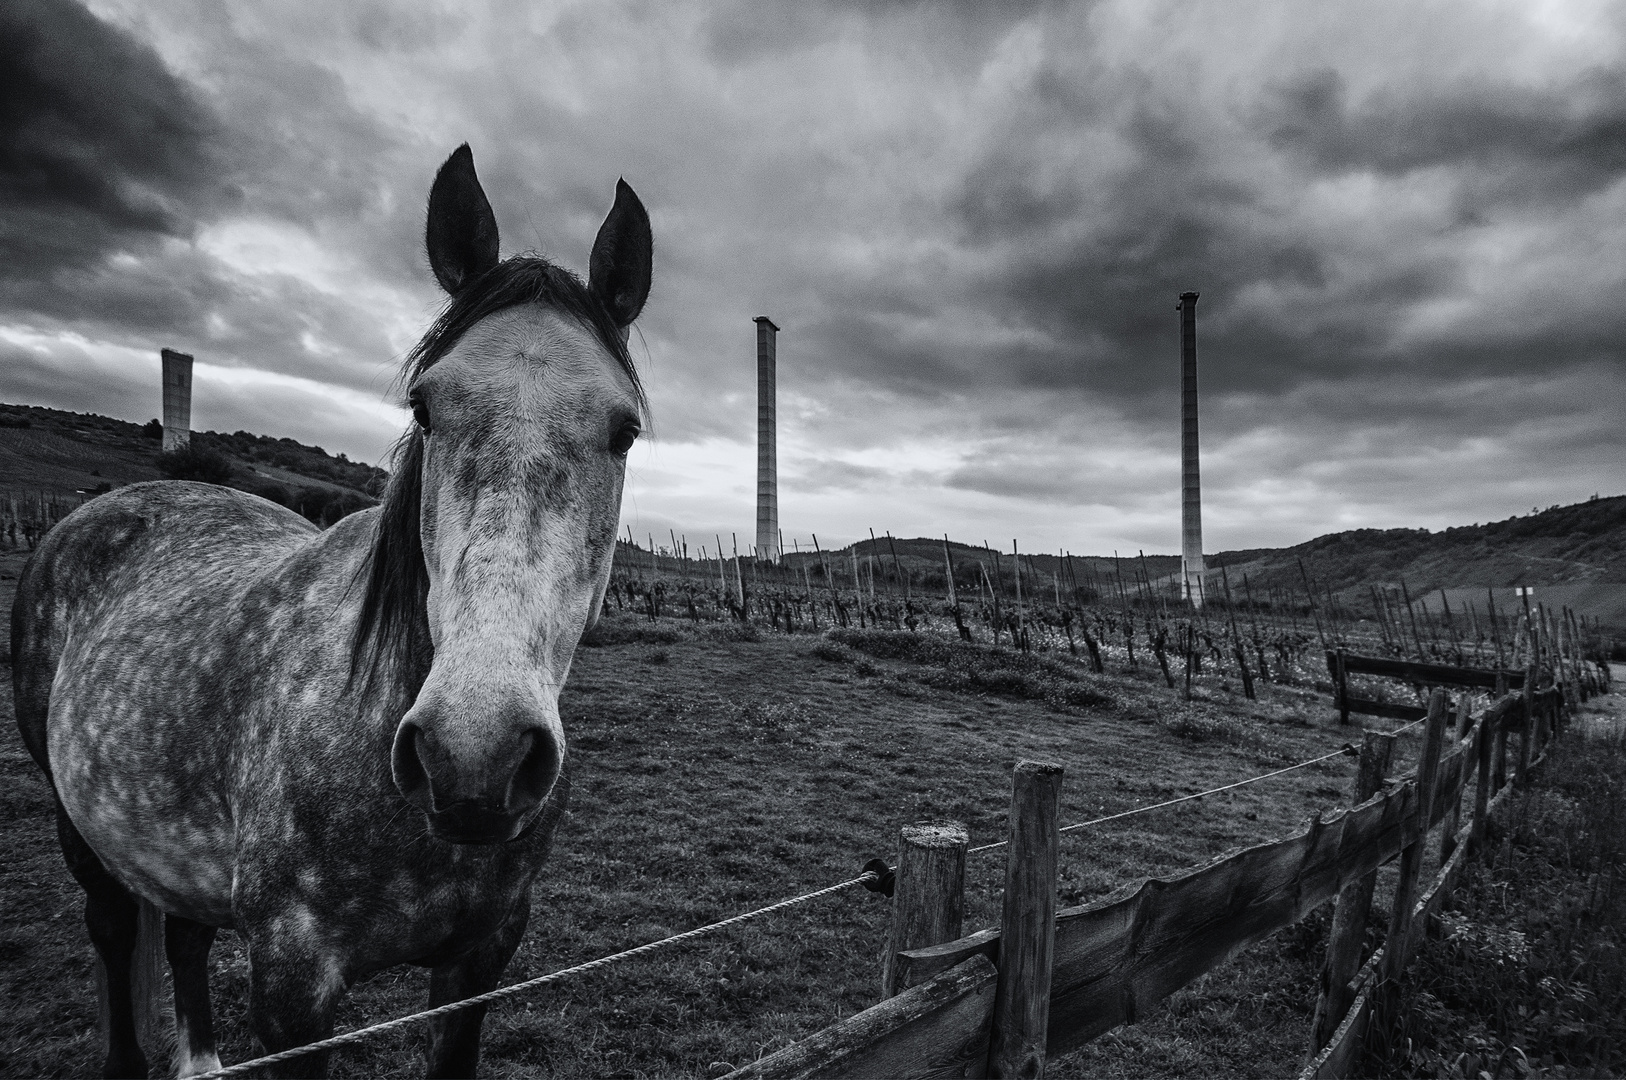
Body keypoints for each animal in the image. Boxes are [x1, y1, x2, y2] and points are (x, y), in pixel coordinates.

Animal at [11, 145, 653, 1080]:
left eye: (624, 430)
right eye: (425, 405)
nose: (475, 754)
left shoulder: (481, 959)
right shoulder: (293, 988)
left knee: (186, 938)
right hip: (79, 828)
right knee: (113, 933)